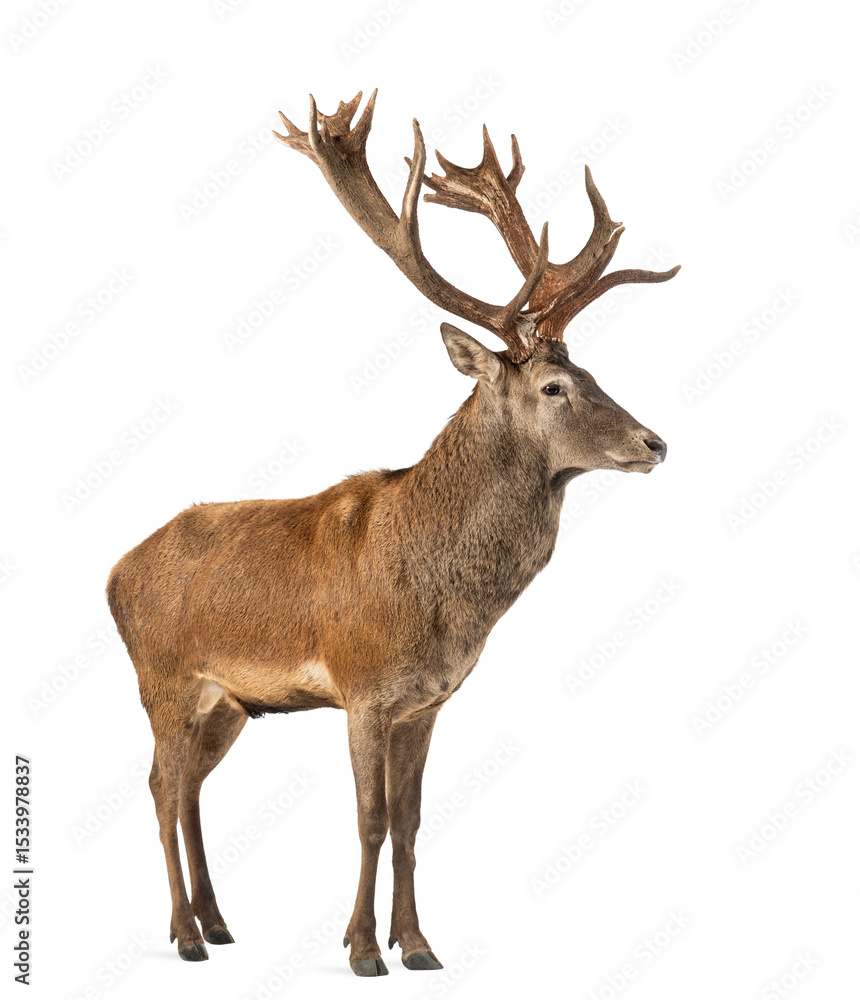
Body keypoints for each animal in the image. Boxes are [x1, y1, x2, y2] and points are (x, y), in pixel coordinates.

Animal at [106, 90, 679, 977]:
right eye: (555, 386)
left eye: (592, 373)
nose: (655, 443)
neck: (437, 597)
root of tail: (111, 573)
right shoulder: (363, 687)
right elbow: (370, 820)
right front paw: (362, 949)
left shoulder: (426, 702)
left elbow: (410, 822)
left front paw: (419, 945)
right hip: (159, 677)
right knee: (160, 786)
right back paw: (185, 934)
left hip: (229, 702)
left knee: (189, 786)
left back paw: (219, 921)